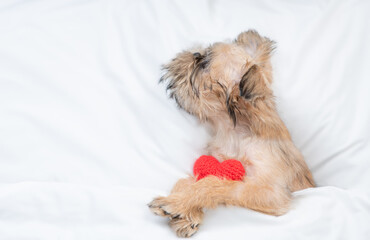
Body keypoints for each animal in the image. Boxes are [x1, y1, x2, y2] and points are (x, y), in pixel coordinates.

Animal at [149, 29, 314, 236]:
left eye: (204, 63)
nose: (194, 53)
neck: (235, 132)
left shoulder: (271, 193)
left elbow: (213, 183)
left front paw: (177, 203)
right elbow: (187, 180)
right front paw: (187, 213)